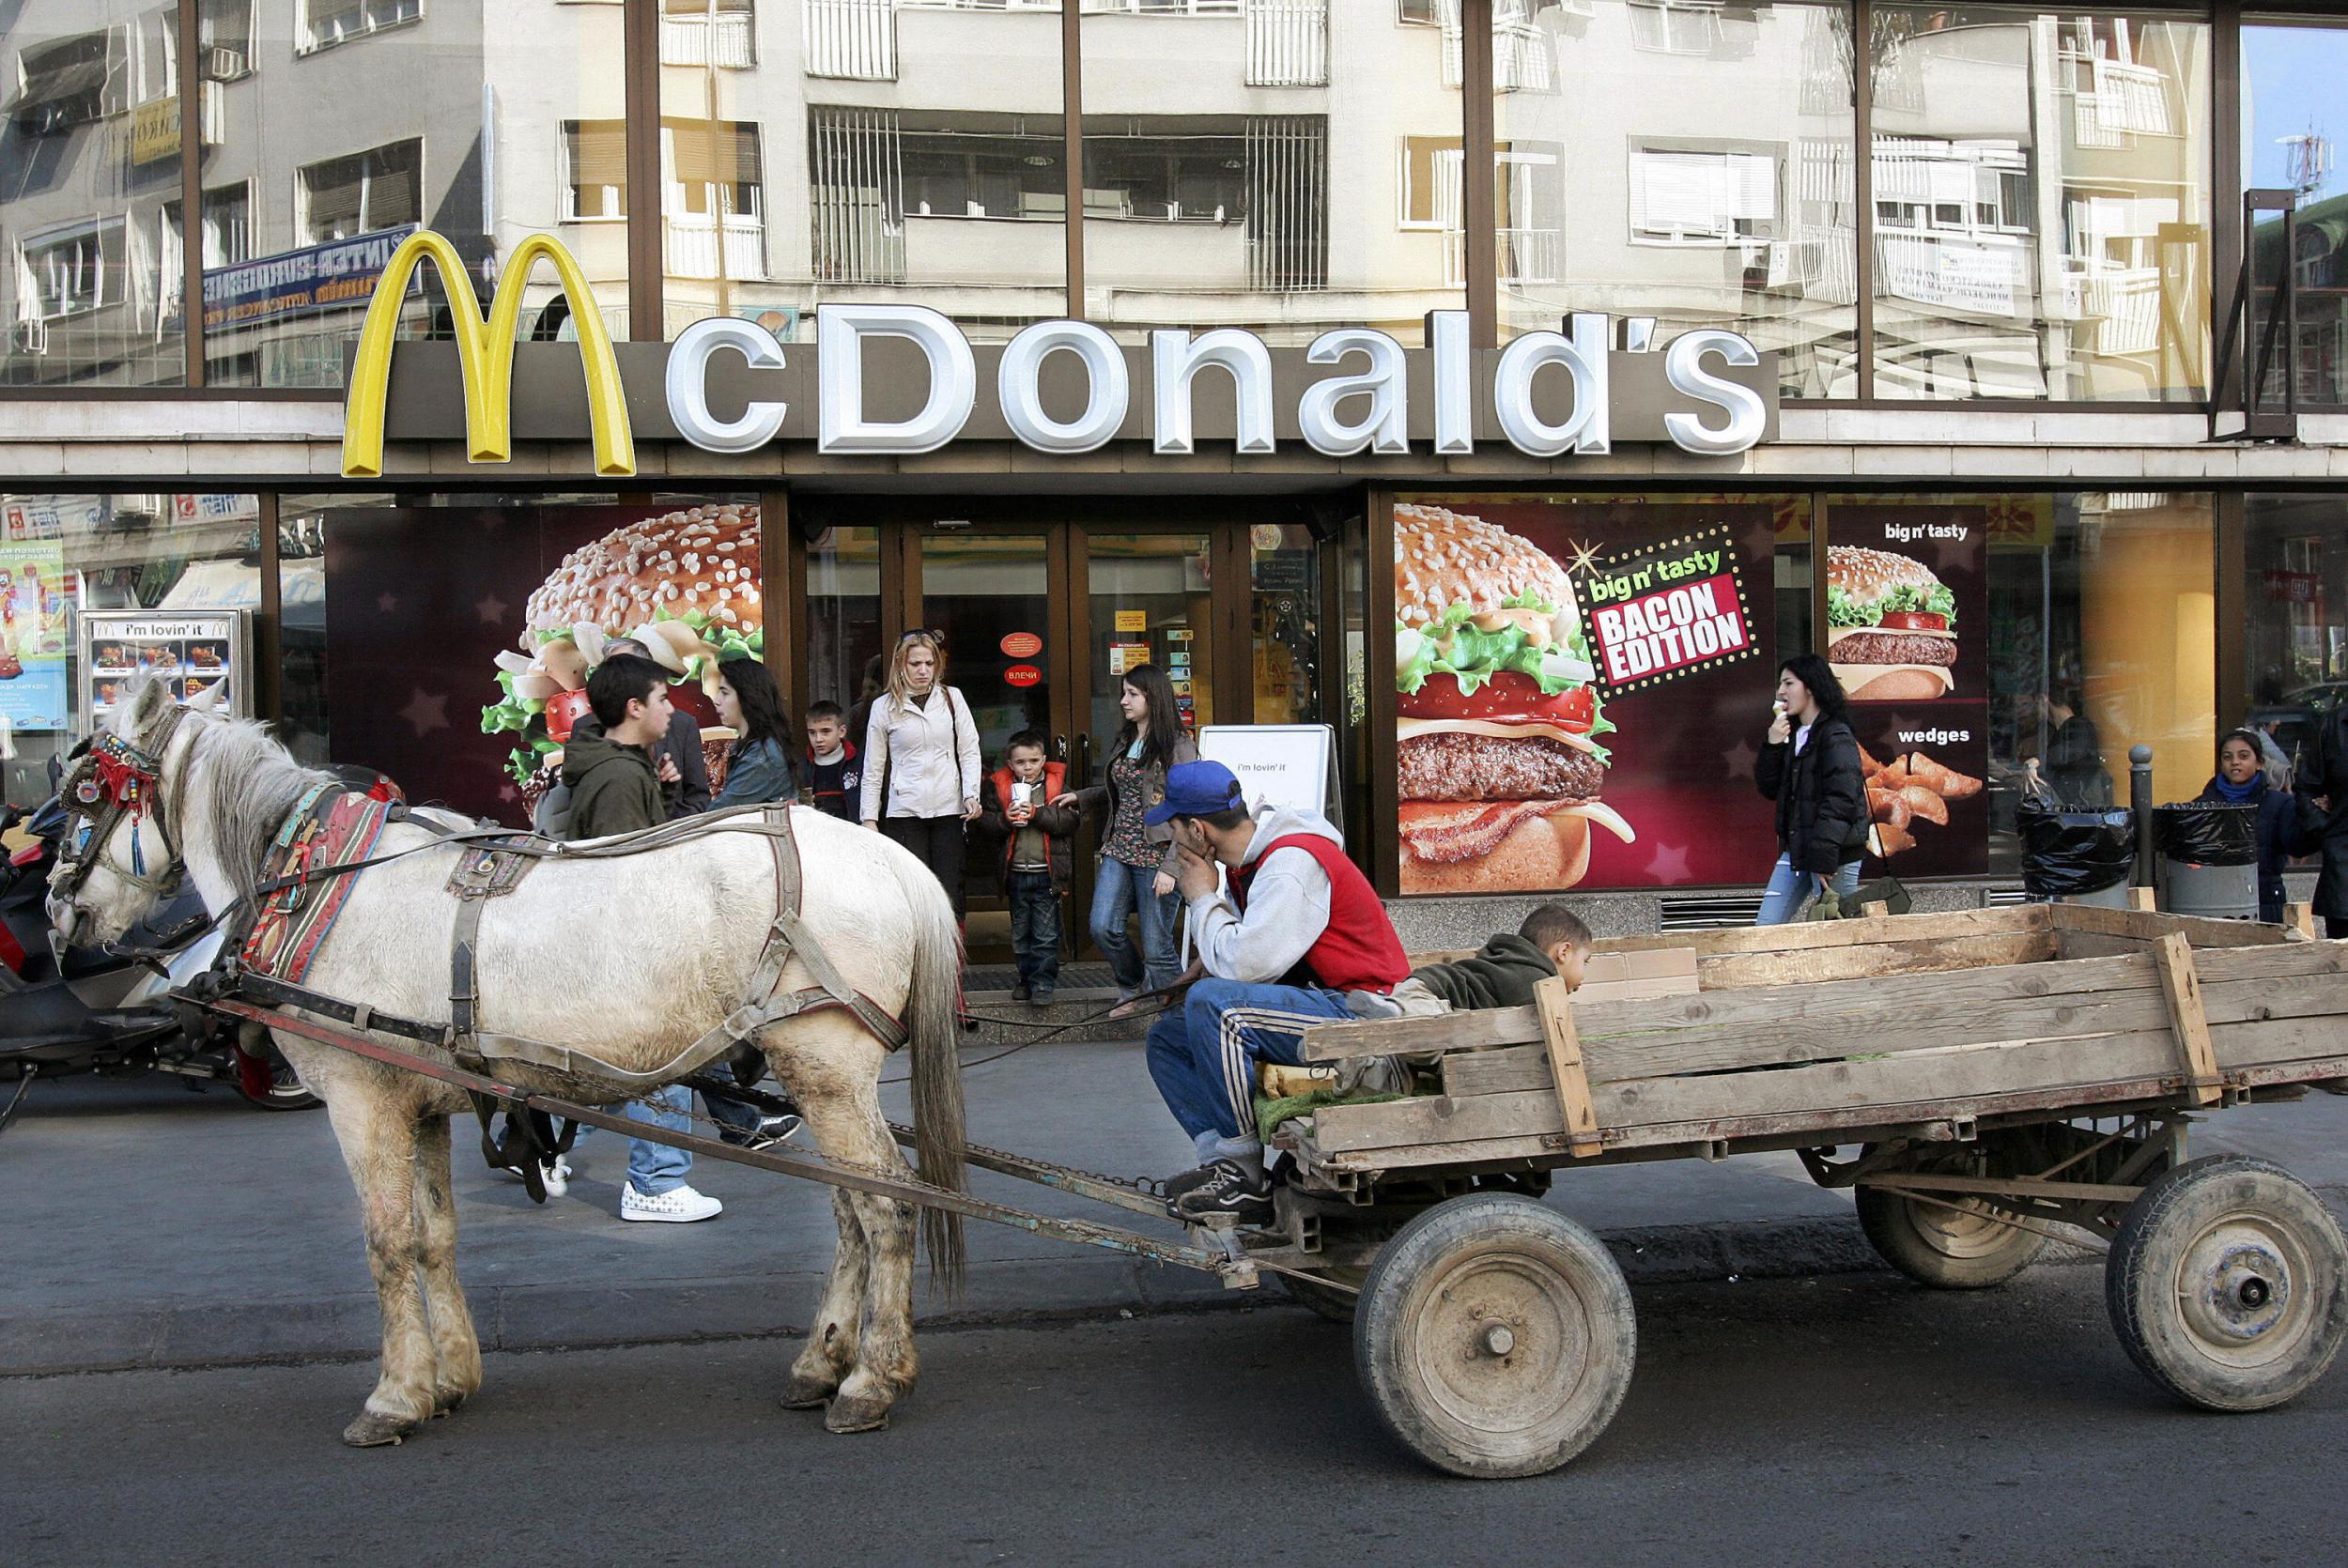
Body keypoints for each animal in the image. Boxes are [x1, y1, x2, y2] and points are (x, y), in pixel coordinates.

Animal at [54, 676, 972, 1446]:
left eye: (83, 793)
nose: (63, 912)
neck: (319, 884)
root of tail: (893, 859)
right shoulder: (420, 1102)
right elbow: (434, 1238)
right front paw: (447, 1379)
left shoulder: (359, 1097)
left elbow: (386, 1243)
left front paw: (392, 1397)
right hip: (816, 1076)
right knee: (852, 1212)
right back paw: (822, 1365)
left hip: (827, 1071)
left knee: (886, 1209)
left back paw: (872, 1382)